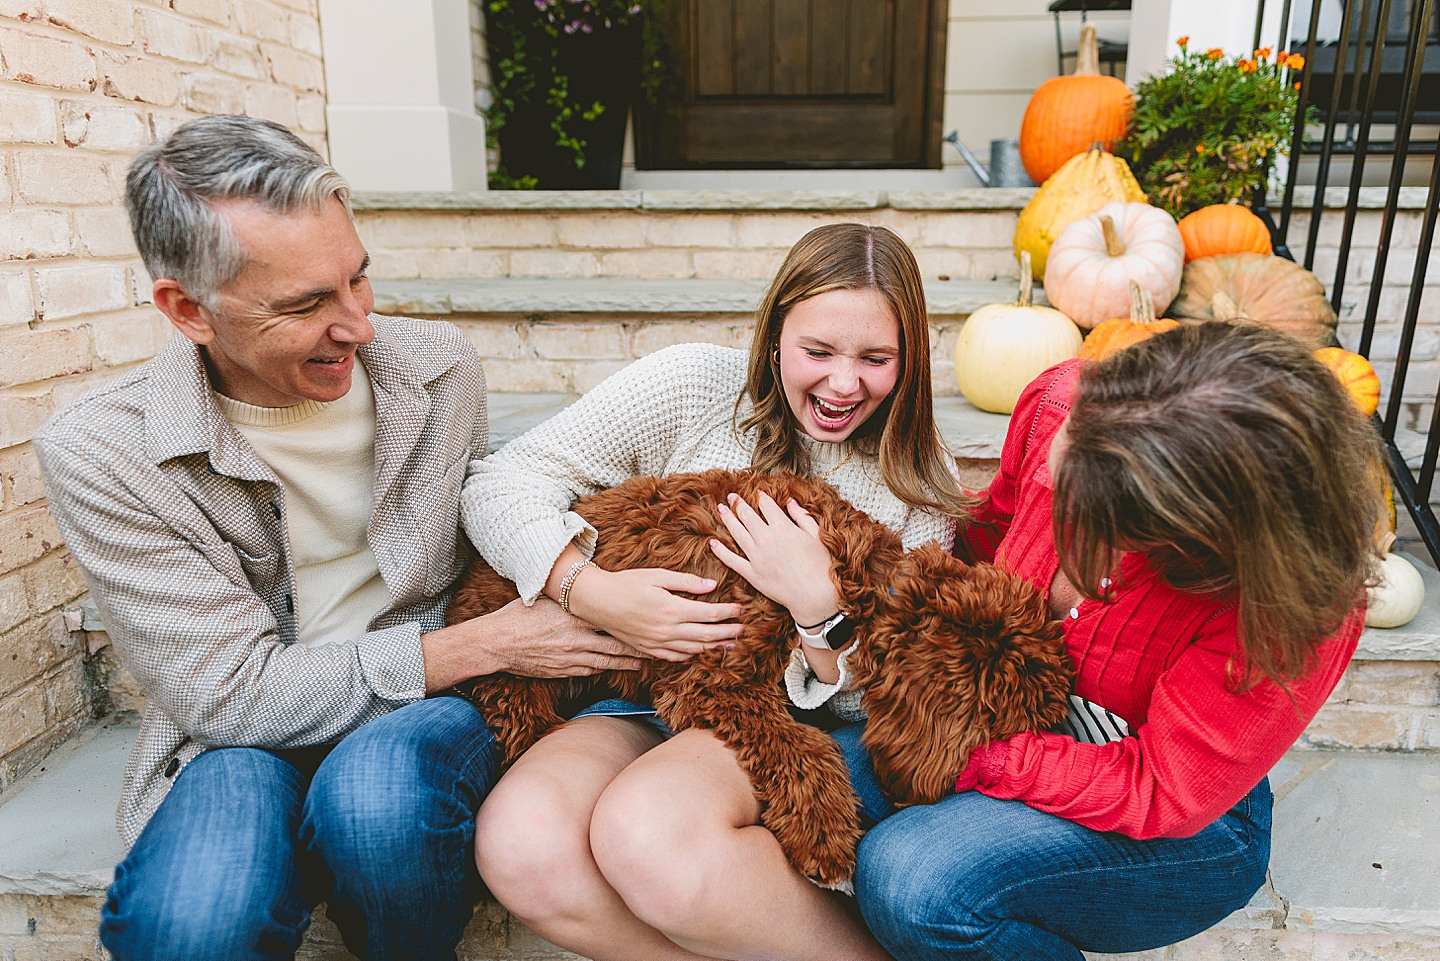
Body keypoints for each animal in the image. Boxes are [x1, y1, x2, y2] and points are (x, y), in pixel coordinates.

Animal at [449, 466, 1071, 887]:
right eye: (1007, 725)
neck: (858, 578)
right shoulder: (711, 677)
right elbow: (800, 744)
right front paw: (825, 837)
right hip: (522, 646)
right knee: (508, 697)